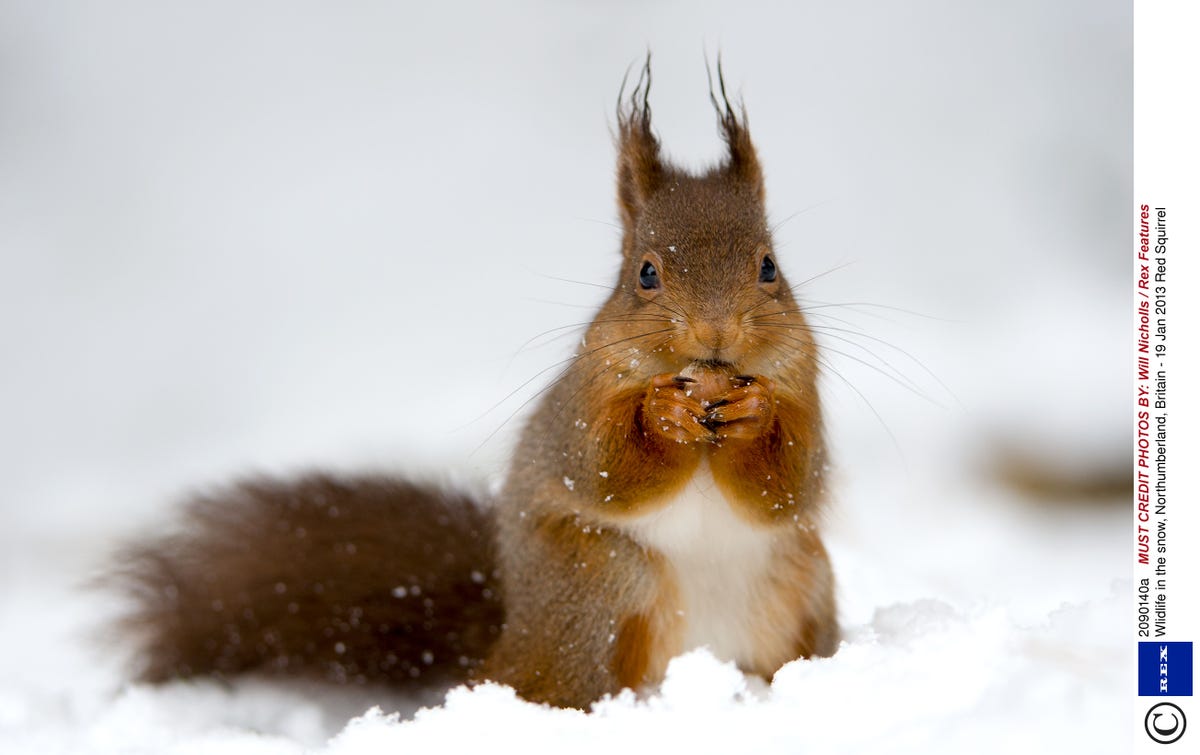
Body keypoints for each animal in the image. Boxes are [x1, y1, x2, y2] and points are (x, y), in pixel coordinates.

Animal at [117, 60, 840, 710]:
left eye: (770, 267)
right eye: (646, 273)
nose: (716, 331)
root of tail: (508, 640)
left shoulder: (804, 384)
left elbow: (790, 481)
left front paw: (755, 411)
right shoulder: (583, 401)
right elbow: (604, 466)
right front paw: (662, 413)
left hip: (799, 580)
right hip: (600, 584)